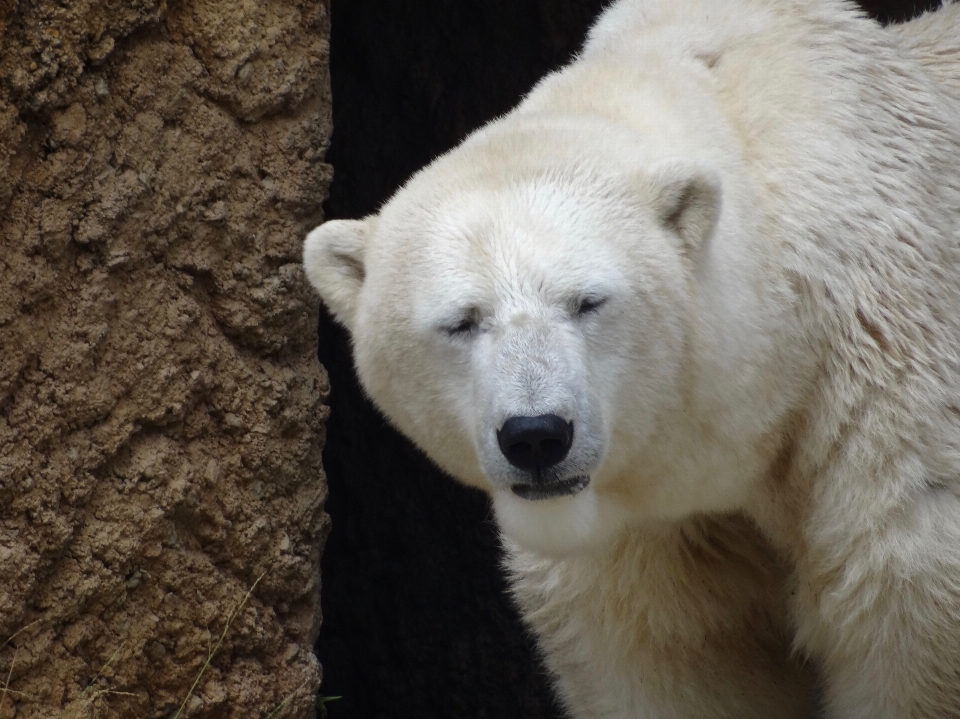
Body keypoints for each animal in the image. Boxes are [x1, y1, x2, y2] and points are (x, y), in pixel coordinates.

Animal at [304, 0, 956, 716]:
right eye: (462, 321)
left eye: (587, 301)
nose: (536, 436)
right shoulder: (633, 527)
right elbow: (662, 654)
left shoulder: (885, 394)